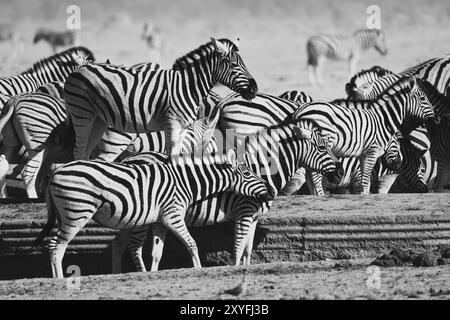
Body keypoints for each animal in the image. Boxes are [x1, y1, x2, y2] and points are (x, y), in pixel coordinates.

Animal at [34, 150, 274, 278]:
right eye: (247, 173)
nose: (270, 192)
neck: (186, 182)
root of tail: (55, 171)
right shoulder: (173, 215)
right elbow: (193, 243)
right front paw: (199, 268)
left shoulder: (159, 221)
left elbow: (157, 251)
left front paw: (153, 272)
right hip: (76, 212)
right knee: (56, 245)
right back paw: (58, 279)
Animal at [65, 37, 258, 160]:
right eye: (234, 65)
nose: (255, 90)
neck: (188, 86)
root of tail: (80, 68)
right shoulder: (172, 123)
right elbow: (171, 156)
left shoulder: (183, 127)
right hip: (82, 113)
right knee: (79, 150)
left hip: (99, 119)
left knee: (85, 152)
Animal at [292, 76, 436, 194]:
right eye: (423, 99)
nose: (436, 118)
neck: (382, 120)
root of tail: (300, 110)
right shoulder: (371, 152)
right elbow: (365, 182)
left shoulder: (362, 154)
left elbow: (363, 182)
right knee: (315, 176)